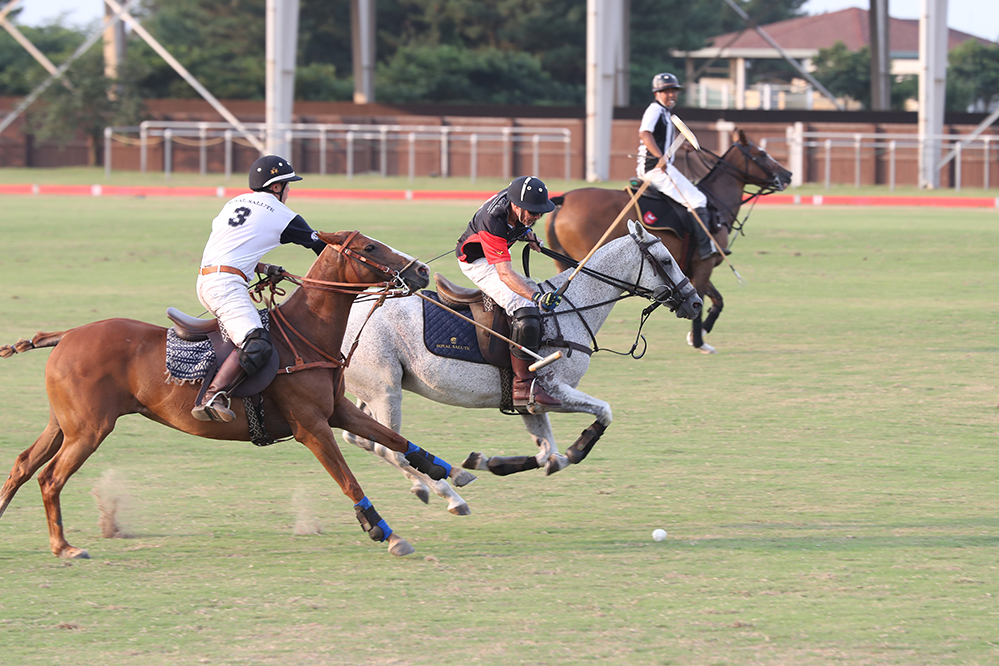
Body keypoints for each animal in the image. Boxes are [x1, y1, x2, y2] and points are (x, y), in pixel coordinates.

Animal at [0, 228, 472, 556]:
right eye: (371, 248)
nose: (421, 270)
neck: (305, 335)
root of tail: (66, 335)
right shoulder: (312, 427)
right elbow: (348, 480)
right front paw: (385, 533)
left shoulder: (336, 410)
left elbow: (396, 440)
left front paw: (453, 470)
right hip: (89, 429)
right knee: (49, 477)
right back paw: (64, 547)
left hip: (64, 424)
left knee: (23, 464)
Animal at [340, 220, 700, 510]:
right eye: (666, 260)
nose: (695, 303)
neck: (572, 308)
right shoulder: (553, 391)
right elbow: (602, 414)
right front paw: (577, 450)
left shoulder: (527, 404)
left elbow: (548, 455)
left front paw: (486, 461)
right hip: (386, 392)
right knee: (390, 449)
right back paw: (452, 495)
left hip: (374, 389)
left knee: (364, 440)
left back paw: (427, 485)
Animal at [544, 127, 792, 350]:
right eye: (762, 153)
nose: (788, 175)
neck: (716, 204)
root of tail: (563, 198)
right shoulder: (704, 263)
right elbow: (705, 299)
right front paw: (698, 340)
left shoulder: (691, 268)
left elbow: (717, 300)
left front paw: (700, 334)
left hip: (562, 260)